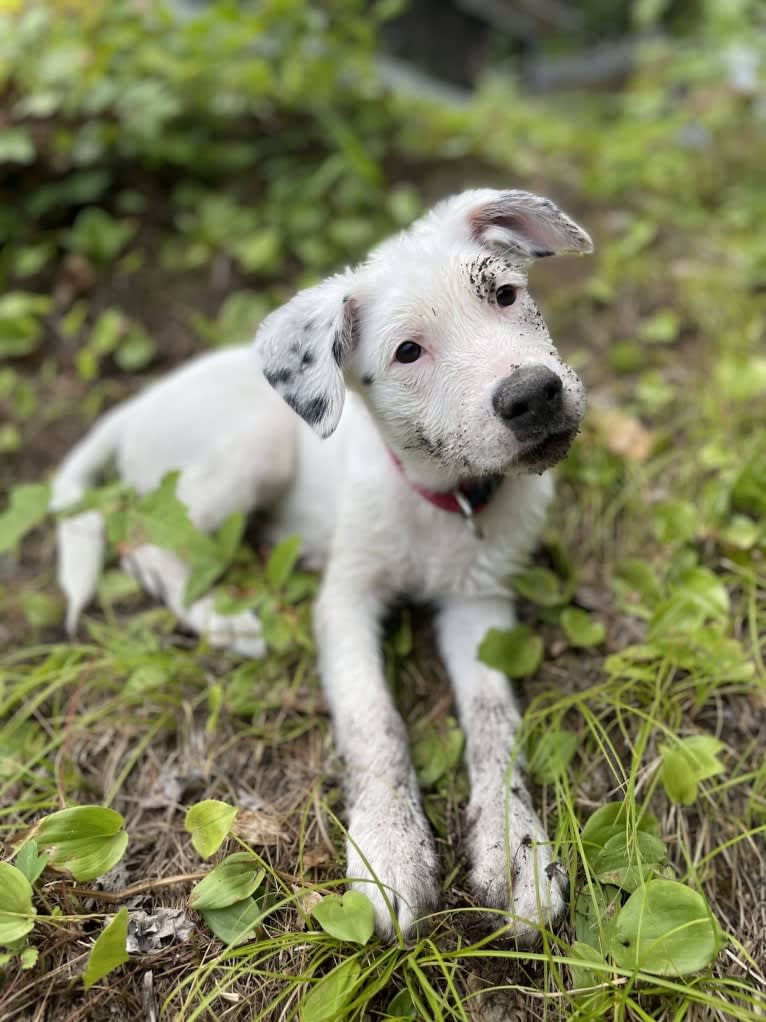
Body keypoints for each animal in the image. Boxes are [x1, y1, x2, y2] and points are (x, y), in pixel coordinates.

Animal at [54, 190, 592, 940]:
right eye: (407, 352)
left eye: (505, 294)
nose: (534, 394)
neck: (441, 498)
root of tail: (136, 406)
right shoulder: (344, 603)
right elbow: (374, 723)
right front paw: (388, 851)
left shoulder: (478, 605)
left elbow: (494, 724)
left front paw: (517, 849)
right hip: (255, 448)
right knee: (147, 546)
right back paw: (228, 620)